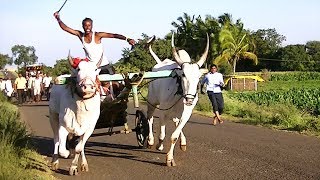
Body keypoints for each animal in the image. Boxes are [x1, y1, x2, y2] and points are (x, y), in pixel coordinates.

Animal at [146, 32, 209, 166]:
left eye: (199, 76)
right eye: (183, 75)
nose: (189, 100)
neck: (179, 92)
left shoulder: (187, 113)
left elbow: (174, 135)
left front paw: (170, 158)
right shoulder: (163, 112)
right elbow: (162, 134)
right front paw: (159, 145)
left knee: (175, 121)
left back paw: (183, 142)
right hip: (152, 102)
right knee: (150, 118)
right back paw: (150, 141)